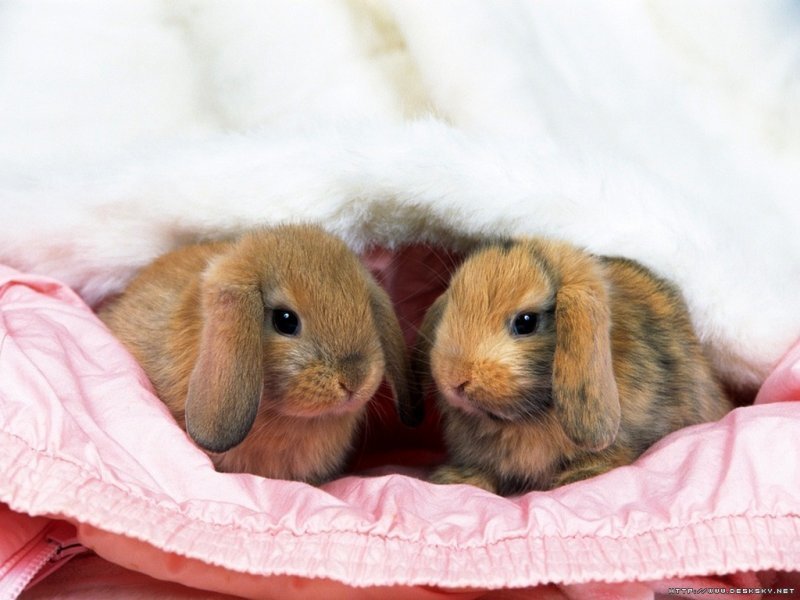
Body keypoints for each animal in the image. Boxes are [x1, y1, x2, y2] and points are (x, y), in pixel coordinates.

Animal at [411, 237, 733, 495]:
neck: (533, 415)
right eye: (452, 304)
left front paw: (577, 476)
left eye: (526, 322)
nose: (453, 379)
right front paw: (453, 479)